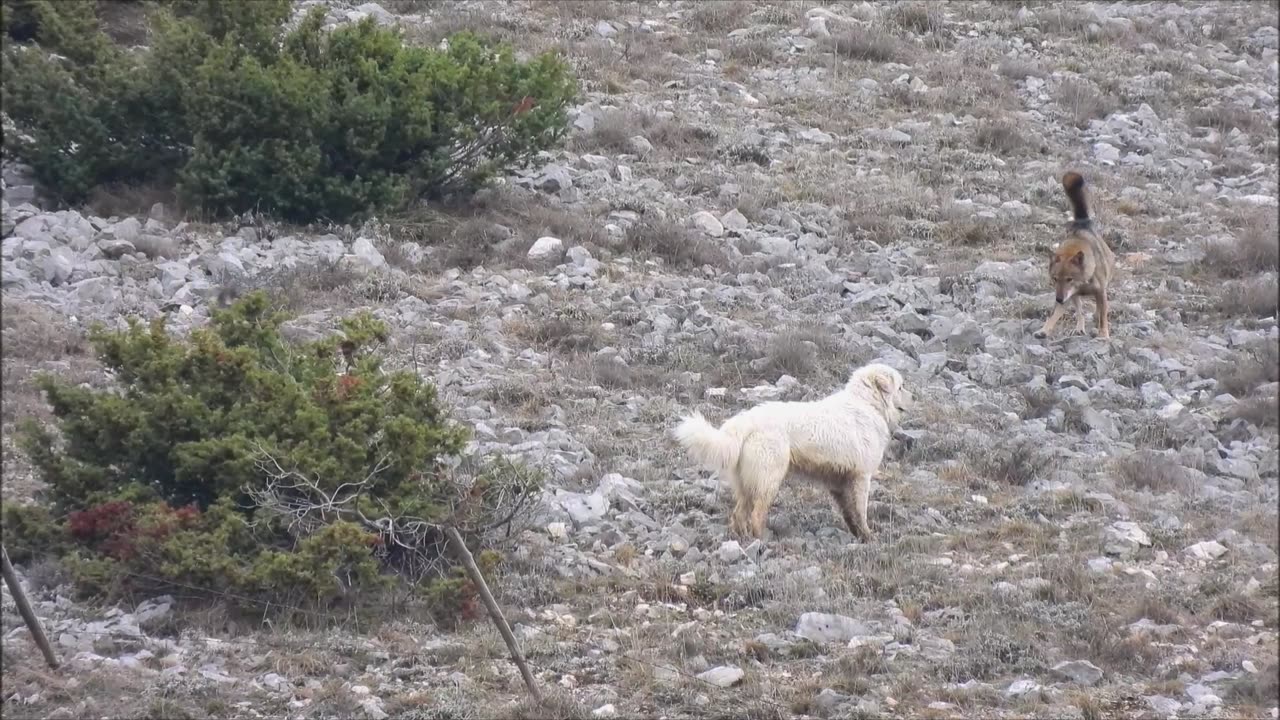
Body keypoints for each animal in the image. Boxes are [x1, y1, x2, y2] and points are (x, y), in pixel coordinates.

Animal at [670, 363, 911, 538]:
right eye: (900, 386)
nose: (913, 397)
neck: (867, 404)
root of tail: (745, 420)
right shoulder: (861, 477)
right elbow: (860, 511)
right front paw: (868, 536)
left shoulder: (840, 481)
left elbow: (849, 512)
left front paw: (857, 534)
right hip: (769, 478)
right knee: (757, 514)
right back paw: (762, 539)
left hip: (747, 482)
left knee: (739, 514)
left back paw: (743, 537)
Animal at [1029, 170, 1111, 338]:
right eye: (1055, 279)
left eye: (1069, 279)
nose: (1059, 299)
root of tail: (1082, 221)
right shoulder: (1068, 295)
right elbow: (1054, 315)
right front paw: (1044, 330)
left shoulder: (1100, 292)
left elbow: (1103, 316)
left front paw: (1104, 335)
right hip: (1073, 297)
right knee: (1080, 311)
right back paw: (1079, 328)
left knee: (1097, 310)